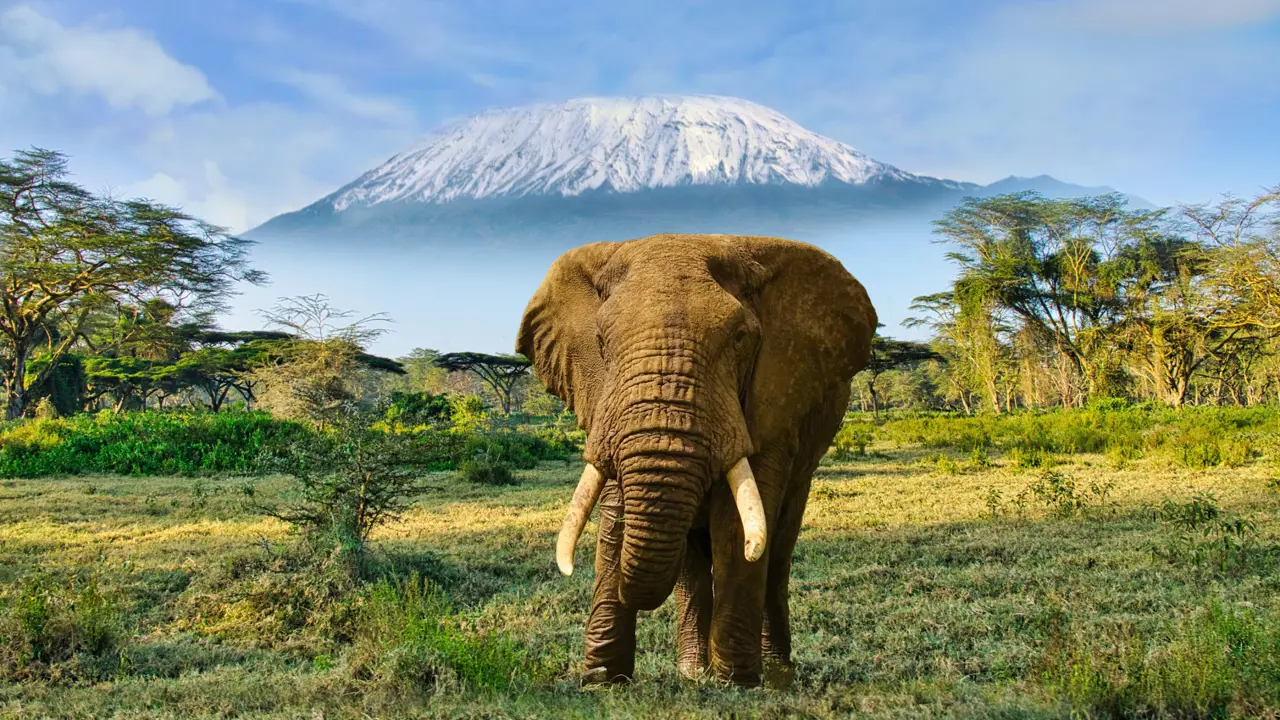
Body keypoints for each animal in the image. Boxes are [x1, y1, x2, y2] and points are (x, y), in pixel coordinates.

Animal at [514, 233, 875, 686]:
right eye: (600, 342)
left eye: (740, 338)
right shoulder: (603, 405)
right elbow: (615, 513)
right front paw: (601, 681)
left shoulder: (773, 398)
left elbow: (737, 525)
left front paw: (736, 683)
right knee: (692, 567)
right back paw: (691, 672)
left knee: (778, 551)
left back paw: (775, 675)